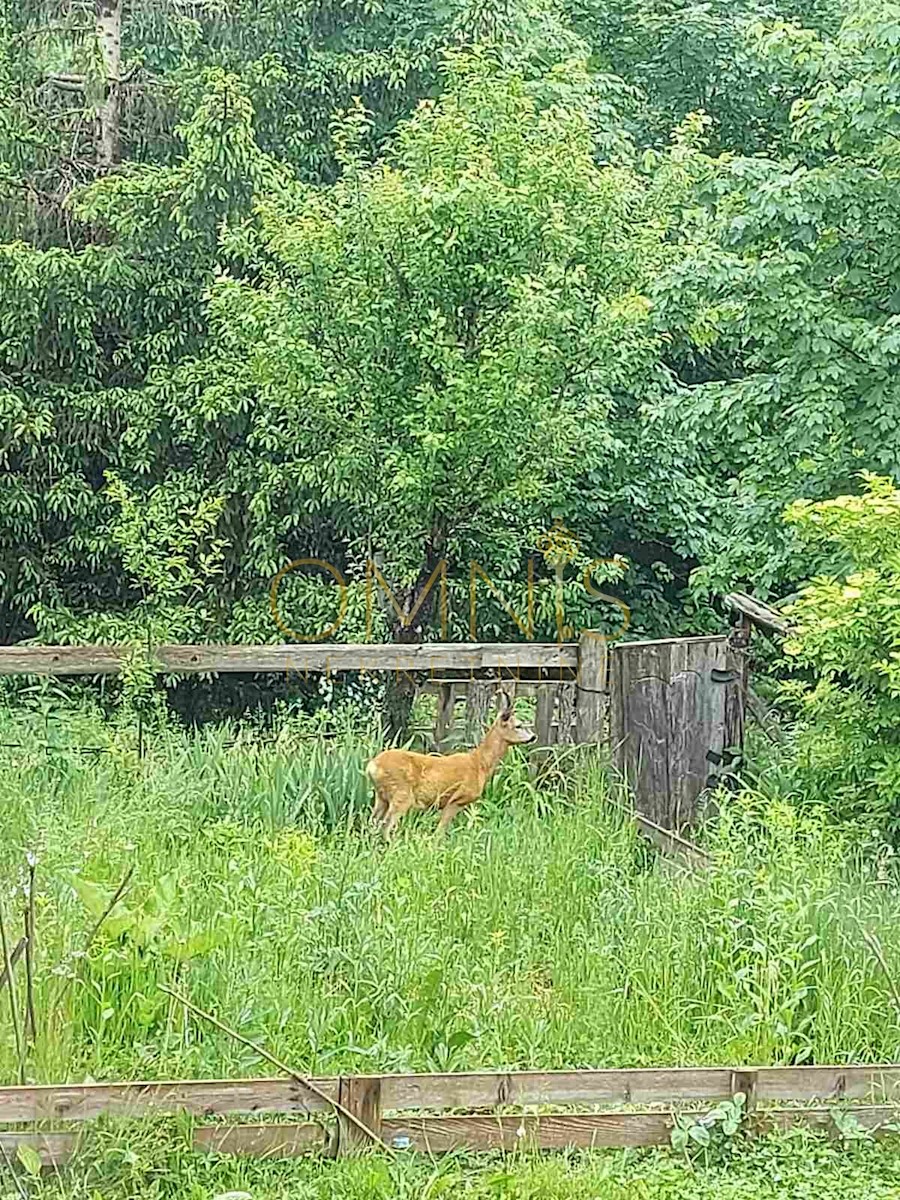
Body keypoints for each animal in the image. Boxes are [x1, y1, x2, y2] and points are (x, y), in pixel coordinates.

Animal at [367, 691, 535, 840]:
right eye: (519, 725)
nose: (533, 736)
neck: (479, 764)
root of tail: (372, 766)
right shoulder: (457, 799)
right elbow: (439, 832)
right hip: (401, 794)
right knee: (385, 826)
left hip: (382, 796)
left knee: (372, 822)